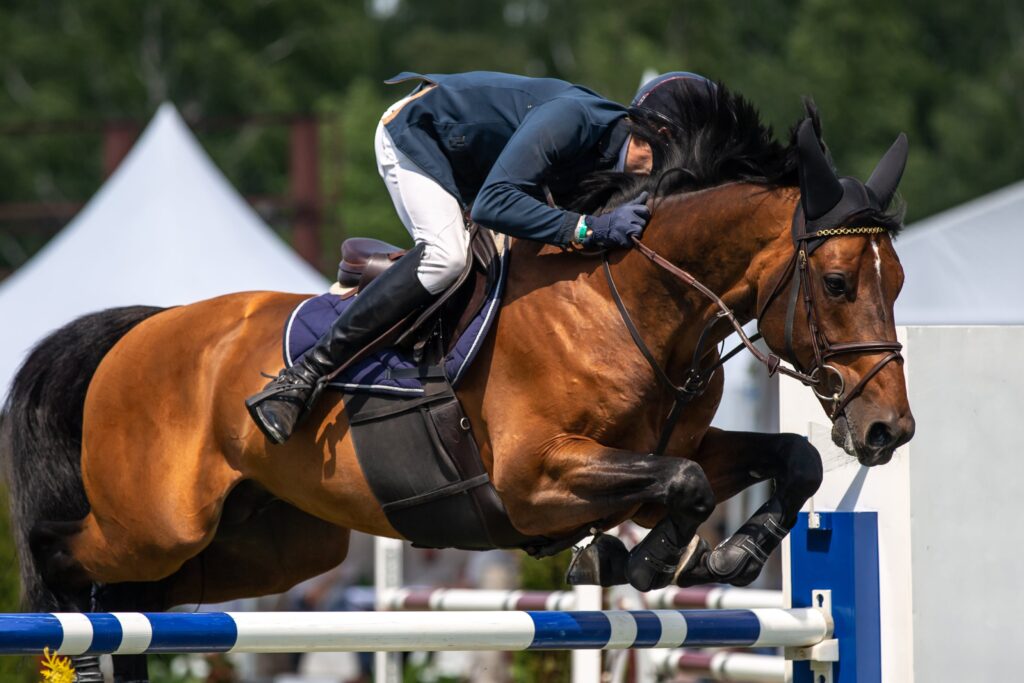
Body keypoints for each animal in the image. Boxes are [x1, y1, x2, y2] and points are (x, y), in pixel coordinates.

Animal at [0, 85, 913, 679]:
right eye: (838, 281)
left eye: (898, 280)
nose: (889, 430)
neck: (631, 303)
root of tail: (142, 327)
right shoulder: (534, 477)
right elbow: (682, 482)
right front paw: (643, 557)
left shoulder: (670, 448)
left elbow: (787, 457)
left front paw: (733, 549)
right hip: (158, 520)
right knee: (68, 559)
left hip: (271, 545)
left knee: (140, 601)